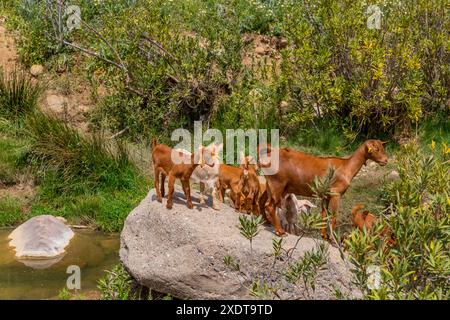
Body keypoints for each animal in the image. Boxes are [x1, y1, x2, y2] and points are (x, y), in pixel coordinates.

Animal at [258, 139, 388, 238]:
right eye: (376, 149)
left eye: (383, 147)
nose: (385, 160)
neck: (346, 167)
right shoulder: (336, 193)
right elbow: (334, 216)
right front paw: (332, 238)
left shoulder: (326, 195)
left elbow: (325, 214)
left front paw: (324, 235)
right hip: (277, 185)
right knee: (270, 206)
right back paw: (280, 232)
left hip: (270, 185)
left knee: (261, 201)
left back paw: (267, 222)